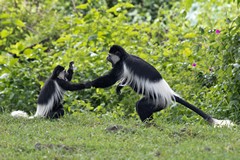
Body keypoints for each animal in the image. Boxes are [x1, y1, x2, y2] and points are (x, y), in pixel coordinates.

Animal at [86, 45, 234, 127]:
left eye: (110, 56)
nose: (107, 58)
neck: (125, 57)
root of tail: (170, 93)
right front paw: (119, 87)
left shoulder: (120, 66)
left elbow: (110, 79)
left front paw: (88, 84)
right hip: (160, 102)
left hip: (158, 100)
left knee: (141, 106)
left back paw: (147, 124)